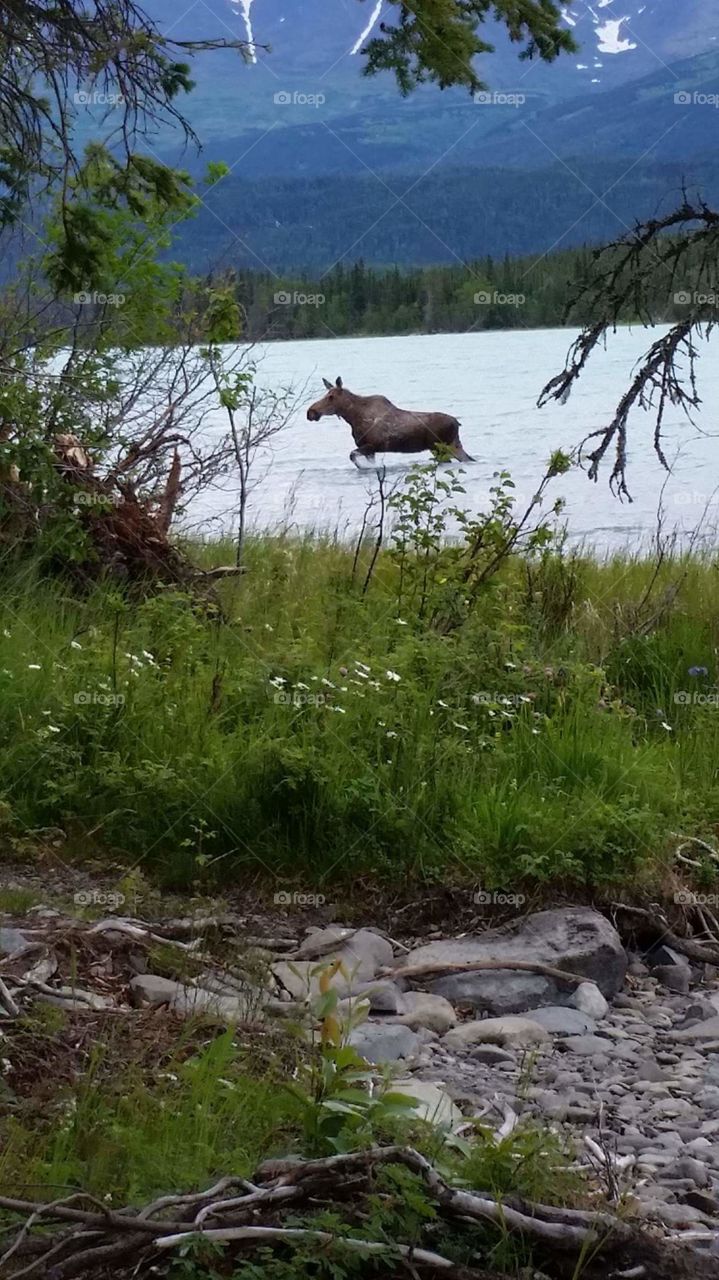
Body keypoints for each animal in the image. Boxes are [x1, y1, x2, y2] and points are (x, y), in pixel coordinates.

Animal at [304, 376, 473, 468]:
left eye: (331, 397)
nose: (311, 412)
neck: (352, 417)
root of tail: (457, 423)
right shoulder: (370, 450)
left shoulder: (372, 446)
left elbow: (352, 456)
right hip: (452, 445)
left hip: (441, 448)